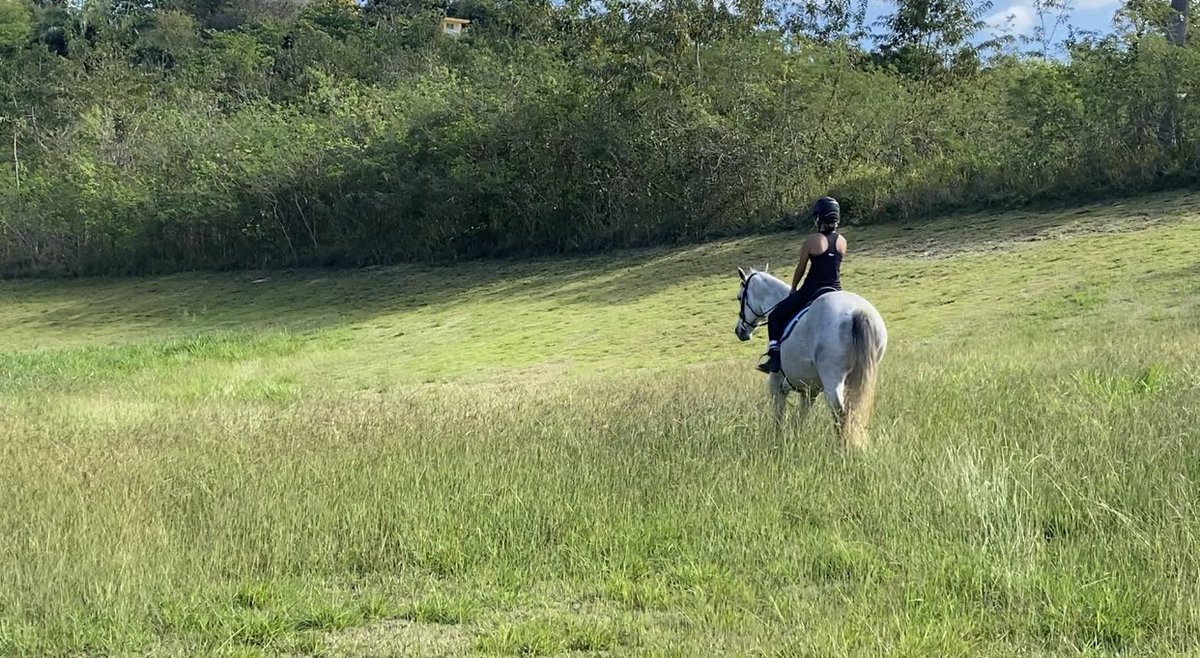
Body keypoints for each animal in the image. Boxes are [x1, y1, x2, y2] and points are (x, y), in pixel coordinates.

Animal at [729, 266, 892, 446]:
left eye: (739, 297)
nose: (740, 331)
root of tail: (858, 311)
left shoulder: (776, 381)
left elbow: (779, 413)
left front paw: (777, 440)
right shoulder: (809, 389)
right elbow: (802, 417)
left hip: (832, 377)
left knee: (840, 413)